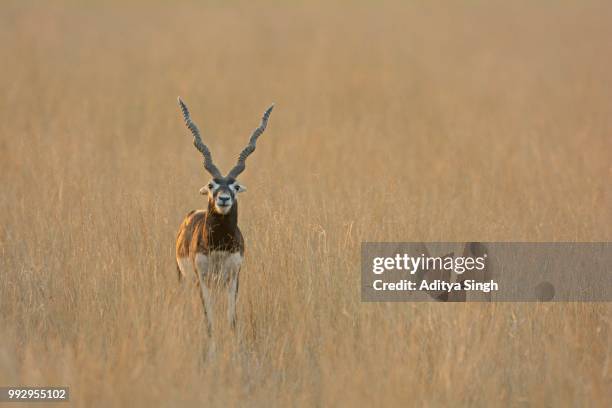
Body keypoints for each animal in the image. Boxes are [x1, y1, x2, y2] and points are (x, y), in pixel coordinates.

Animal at [176, 97, 274, 334]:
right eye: (212, 185)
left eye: (235, 186)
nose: (223, 199)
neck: (219, 244)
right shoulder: (202, 278)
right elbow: (209, 319)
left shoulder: (233, 277)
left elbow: (231, 318)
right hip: (185, 279)